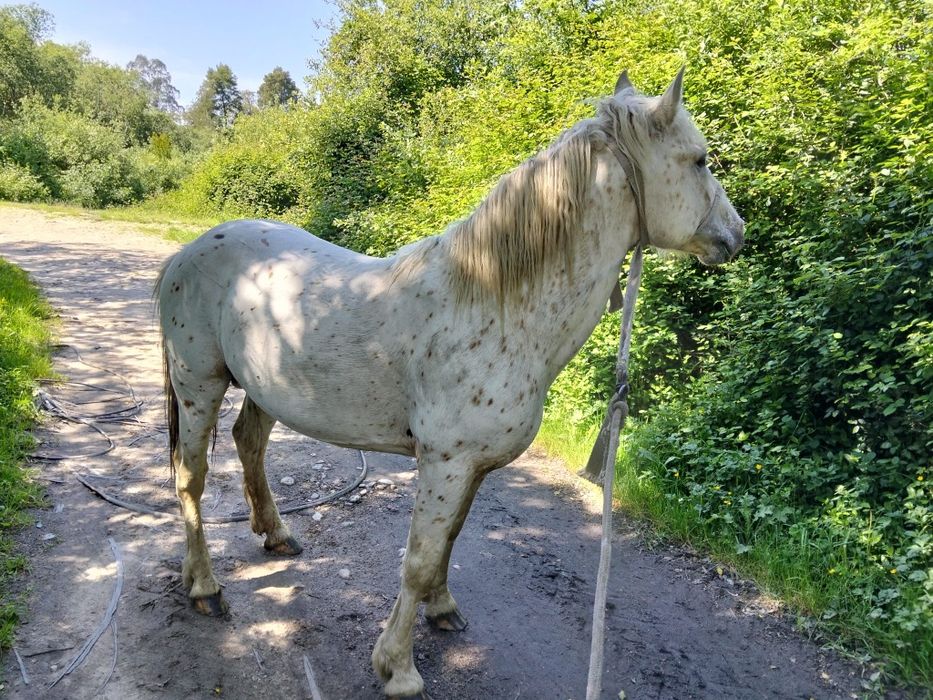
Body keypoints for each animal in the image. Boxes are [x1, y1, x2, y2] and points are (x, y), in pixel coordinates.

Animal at [155, 68, 744, 698]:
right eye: (700, 160)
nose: (736, 234)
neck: (498, 306)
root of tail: (187, 254)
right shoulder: (446, 461)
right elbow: (418, 558)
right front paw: (398, 667)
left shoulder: (473, 466)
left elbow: (450, 541)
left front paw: (441, 609)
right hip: (199, 384)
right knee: (191, 479)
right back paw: (204, 588)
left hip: (262, 386)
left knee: (249, 443)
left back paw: (276, 534)